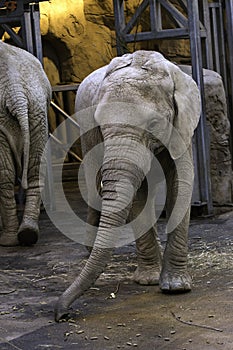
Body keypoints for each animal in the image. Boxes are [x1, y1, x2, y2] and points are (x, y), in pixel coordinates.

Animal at [54, 50, 200, 322]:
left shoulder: (181, 127)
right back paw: (90, 250)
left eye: (153, 124)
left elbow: (181, 184)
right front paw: (149, 280)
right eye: (100, 124)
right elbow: (138, 196)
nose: (62, 315)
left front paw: (176, 287)